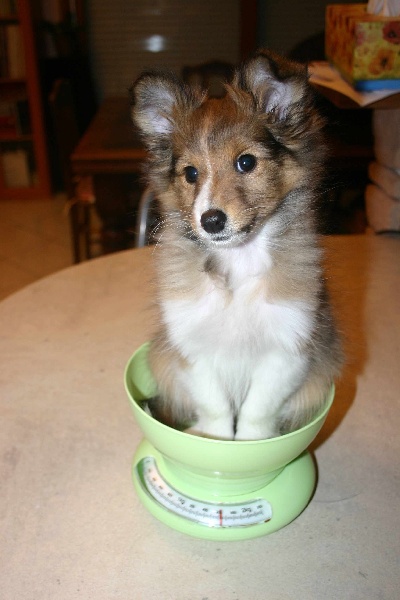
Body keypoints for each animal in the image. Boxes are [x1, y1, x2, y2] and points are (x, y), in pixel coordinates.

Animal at [130, 49, 342, 440]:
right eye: (190, 173)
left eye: (246, 161)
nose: (210, 221)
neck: (238, 260)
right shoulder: (193, 348)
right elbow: (216, 410)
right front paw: (211, 441)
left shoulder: (287, 349)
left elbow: (256, 414)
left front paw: (249, 445)